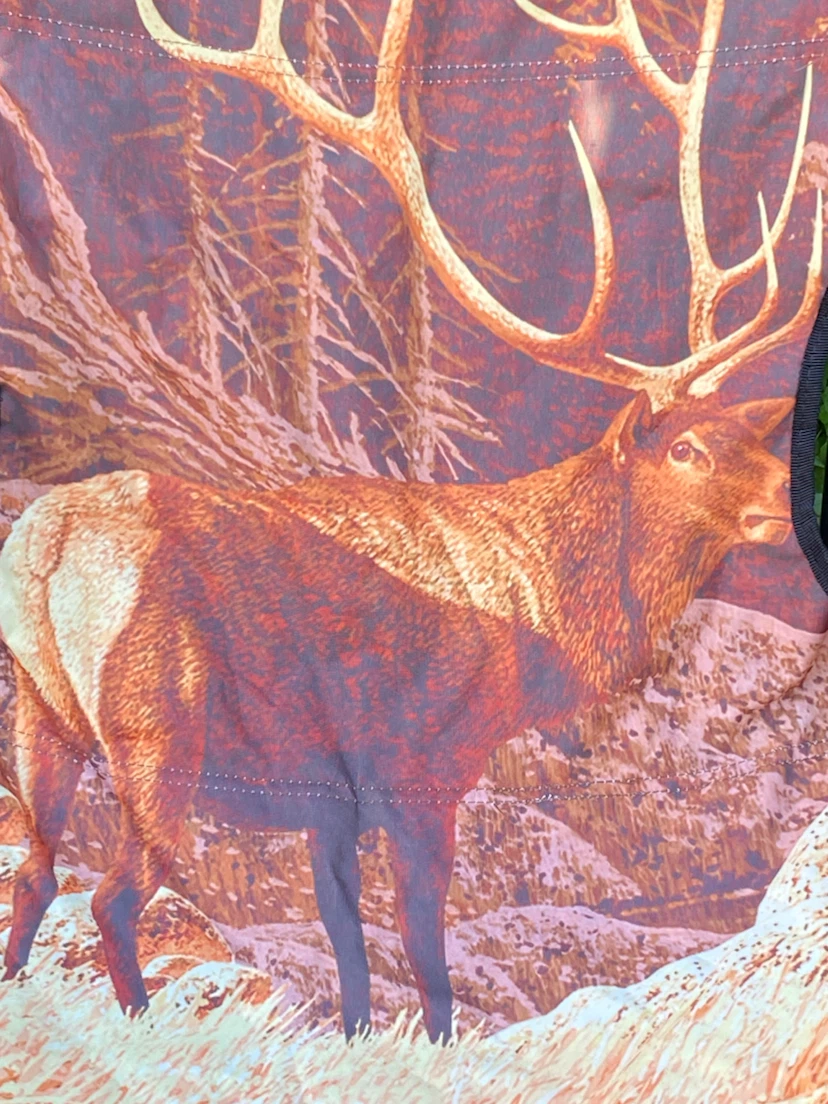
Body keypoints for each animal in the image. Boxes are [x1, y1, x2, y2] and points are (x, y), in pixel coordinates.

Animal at [0, 0, 823, 1045]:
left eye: (746, 435)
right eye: (685, 449)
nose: (782, 502)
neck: (535, 619)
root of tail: (44, 547)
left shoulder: (329, 804)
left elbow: (351, 949)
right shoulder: (418, 769)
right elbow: (424, 949)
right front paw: (436, 1045)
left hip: (39, 713)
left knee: (34, 873)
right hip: (155, 720)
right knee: (113, 893)